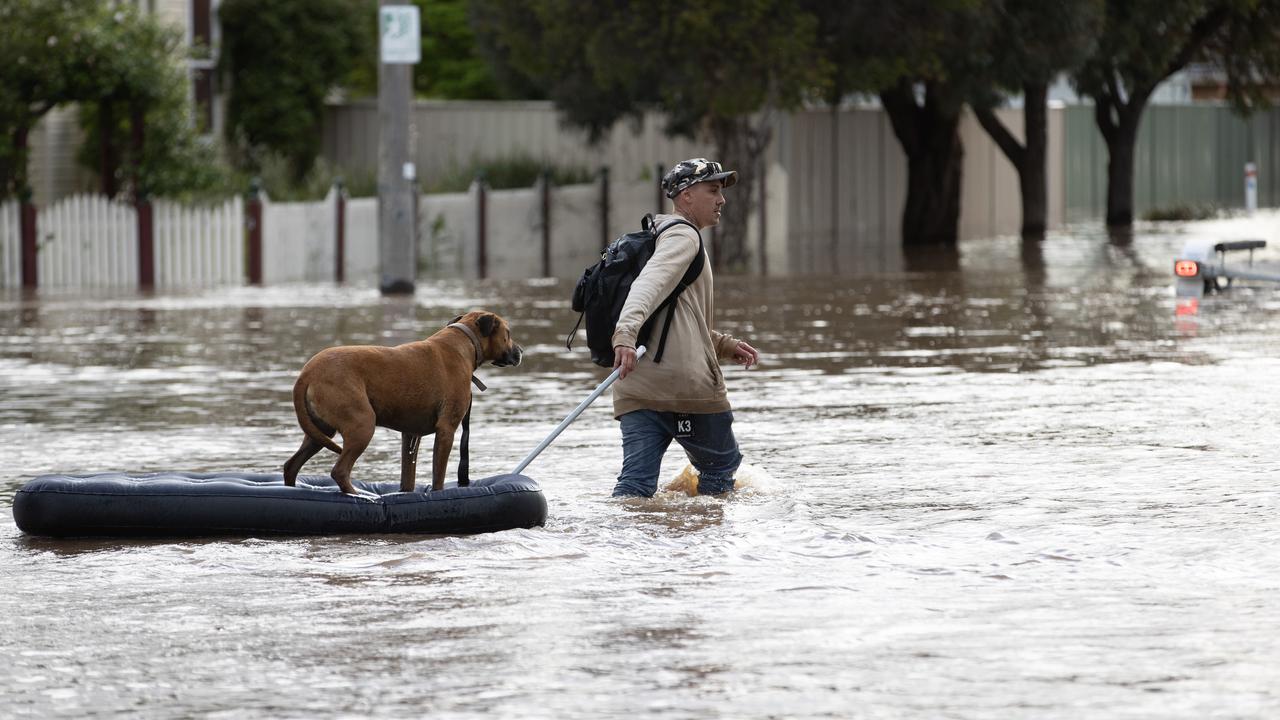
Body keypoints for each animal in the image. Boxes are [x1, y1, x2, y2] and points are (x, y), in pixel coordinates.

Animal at [282, 308, 522, 491]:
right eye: (508, 333)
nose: (520, 351)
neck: (465, 342)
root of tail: (308, 373)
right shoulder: (446, 430)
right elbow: (438, 477)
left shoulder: (410, 436)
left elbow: (408, 479)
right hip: (362, 425)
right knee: (340, 471)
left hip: (318, 432)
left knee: (291, 465)